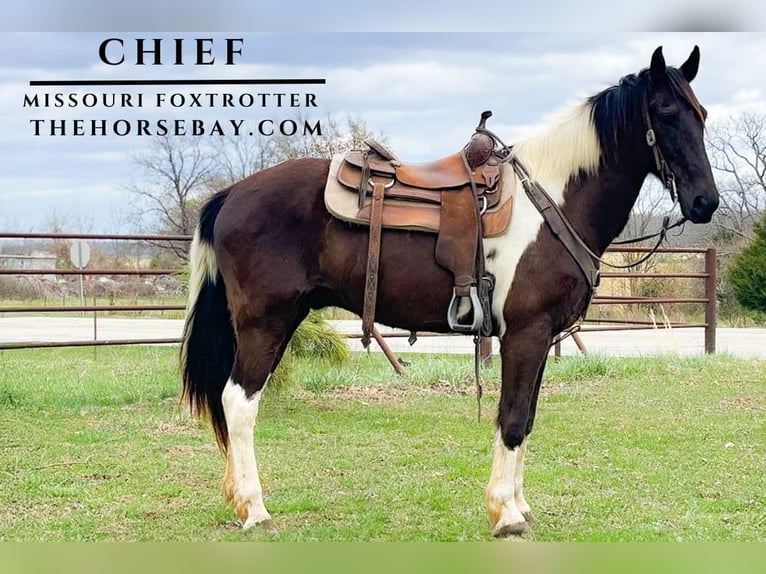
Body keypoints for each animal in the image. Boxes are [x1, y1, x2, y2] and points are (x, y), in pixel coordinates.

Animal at [180, 46, 719, 537]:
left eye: (702, 114)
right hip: (266, 321)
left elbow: (528, 418)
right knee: (239, 403)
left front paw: (520, 506)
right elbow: (513, 419)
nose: (705, 202)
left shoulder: (542, 337)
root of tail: (230, 195)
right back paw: (255, 509)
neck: (551, 199)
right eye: (665, 112)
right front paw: (505, 514)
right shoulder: (525, 334)